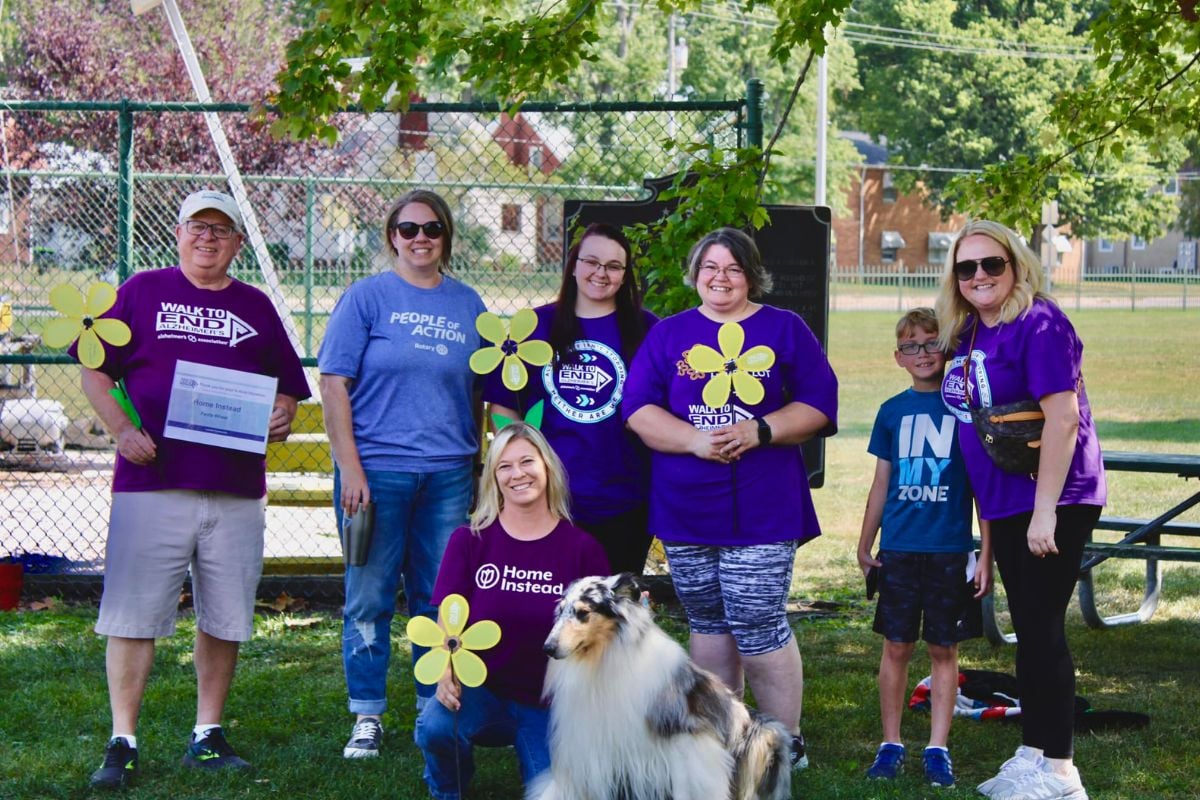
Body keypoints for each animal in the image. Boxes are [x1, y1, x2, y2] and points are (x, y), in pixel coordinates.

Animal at [528, 573, 792, 800]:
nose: (548, 648)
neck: (604, 658)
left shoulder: (686, 739)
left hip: (764, 734)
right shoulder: (593, 744)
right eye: (561, 610)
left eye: (583, 612)